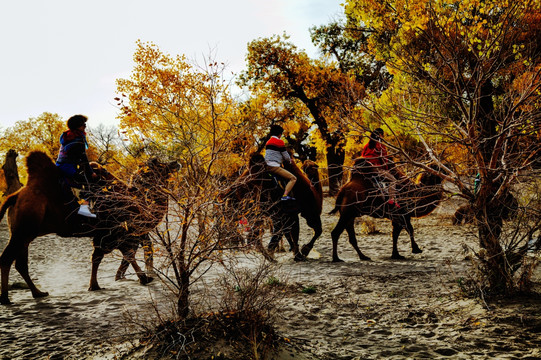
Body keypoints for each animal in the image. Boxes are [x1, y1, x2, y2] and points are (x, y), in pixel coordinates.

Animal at [0, 150, 179, 306]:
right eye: (160, 165)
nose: (176, 162)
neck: (136, 204)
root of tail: (14, 197)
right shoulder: (115, 232)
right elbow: (127, 254)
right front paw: (144, 278)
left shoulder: (103, 235)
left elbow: (97, 257)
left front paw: (94, 285)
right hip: (24, 230)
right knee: (7, 259)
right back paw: (6, 299)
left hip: (24, 233)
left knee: (20, 263)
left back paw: (38, 293)